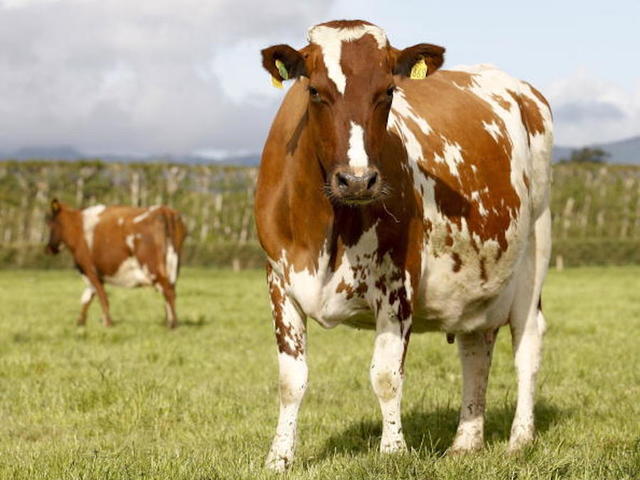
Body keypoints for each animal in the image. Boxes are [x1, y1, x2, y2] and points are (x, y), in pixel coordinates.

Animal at [46, 199, 187, 328]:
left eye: (51, 224)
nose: (48, 248)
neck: (77, 226)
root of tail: (163, 209)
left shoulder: (89, 270)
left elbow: (101, 297)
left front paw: (107, 323)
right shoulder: (96, 275)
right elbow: (87, 298)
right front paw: (80, 322)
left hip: (151, 266)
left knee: (168, 291)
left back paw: (172, 323)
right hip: (172, 266)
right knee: (170, 291)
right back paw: (169, 321)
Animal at [256, 20, 553, 470]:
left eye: (388, 92)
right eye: (315, 91)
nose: (357, 180)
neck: (327, 228)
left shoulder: (398, 282)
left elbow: (385, 375)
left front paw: (393, 451)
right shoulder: (279, 282)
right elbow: (292, 380)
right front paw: (279, 458)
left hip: (536, 248)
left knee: (527, 347)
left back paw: (520, 438)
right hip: (476, 282)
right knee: (475, 349)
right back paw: (466, 441)